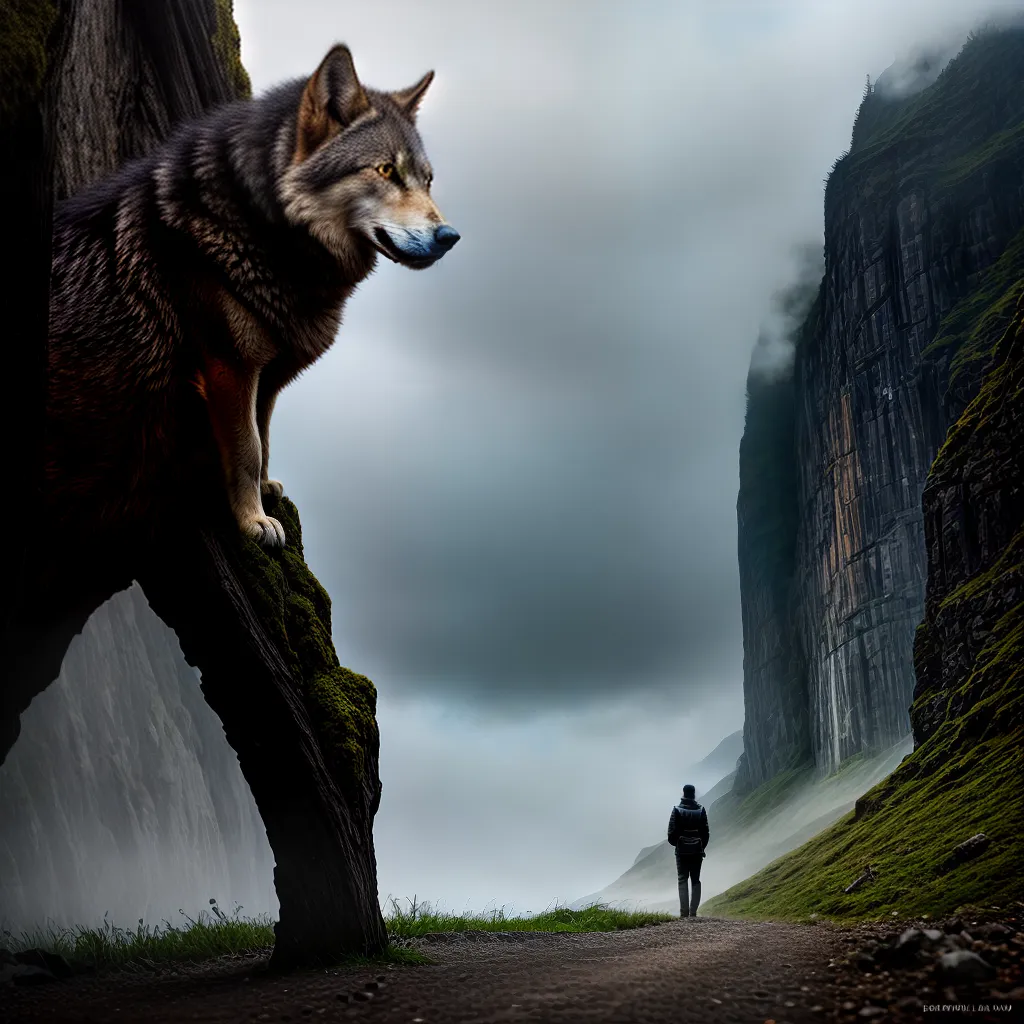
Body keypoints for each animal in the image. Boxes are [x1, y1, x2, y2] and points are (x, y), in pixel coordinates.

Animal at [47, 45, 458, 549]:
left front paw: (263, 492)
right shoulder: (231, 366)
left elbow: (263, 435)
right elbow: (247, 447)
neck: (262, 231)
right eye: (386, 170)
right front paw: (253, 521)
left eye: (428, 181)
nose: (450, 237)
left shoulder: (268, 375)